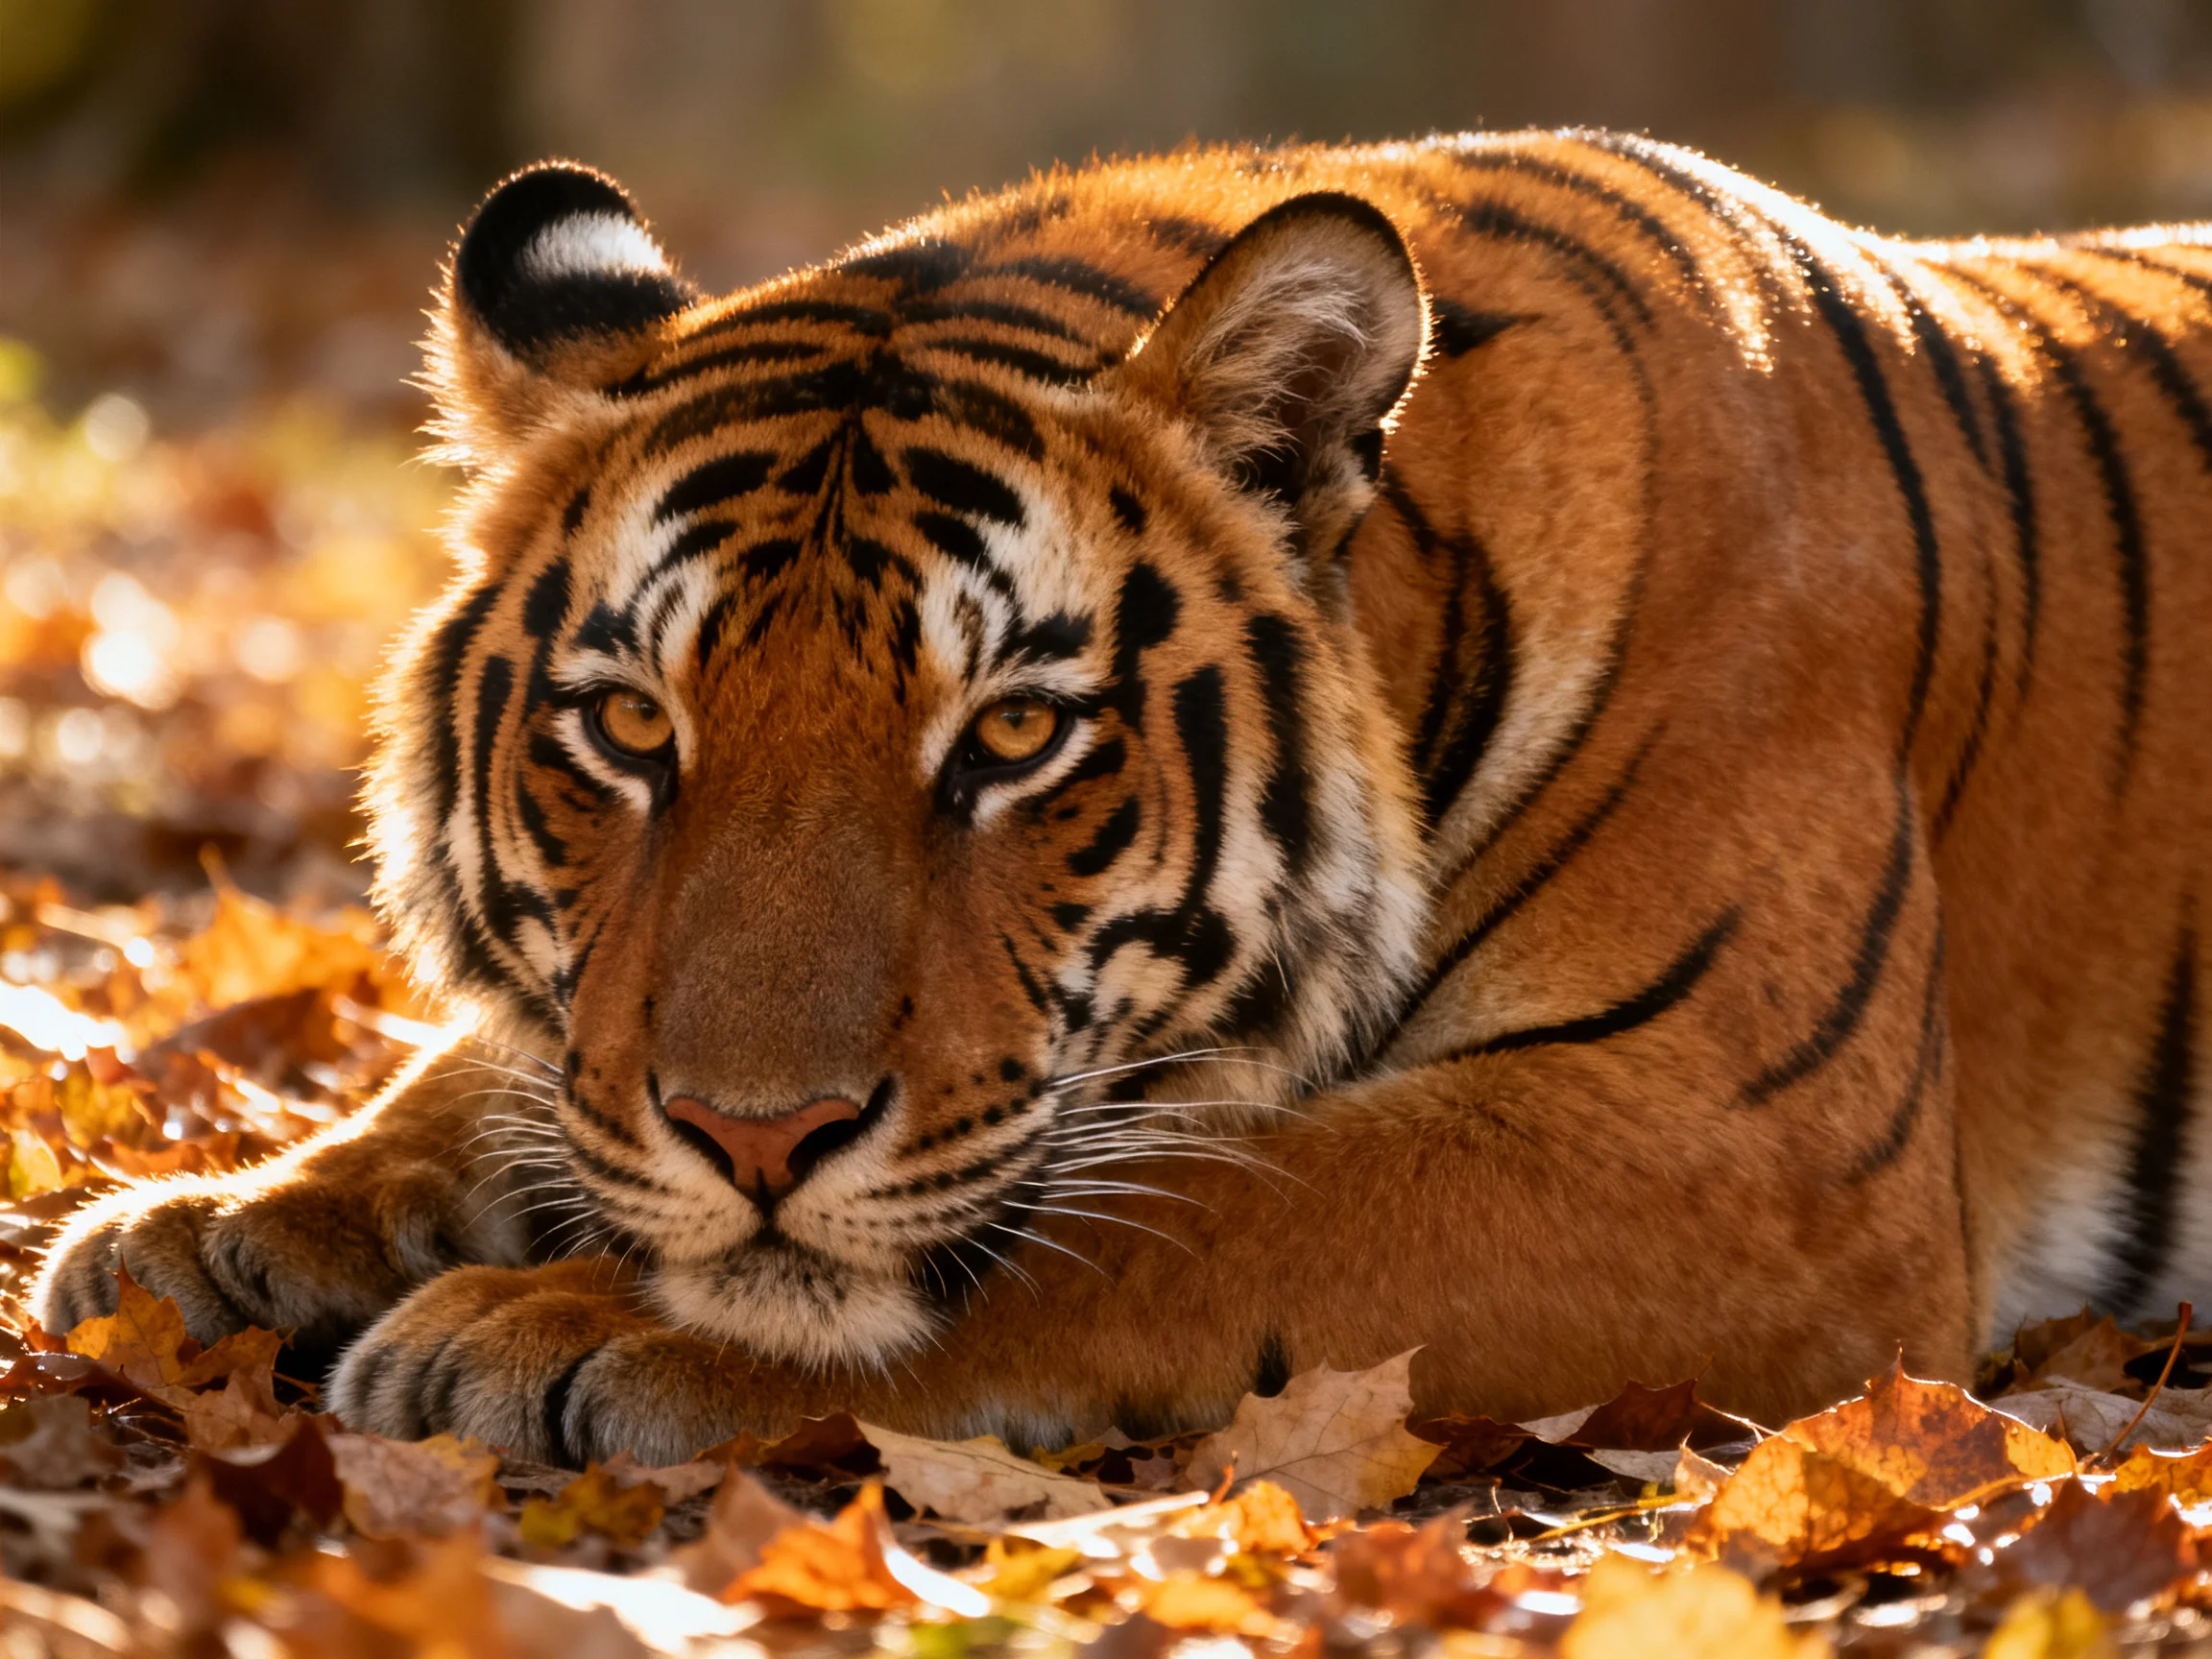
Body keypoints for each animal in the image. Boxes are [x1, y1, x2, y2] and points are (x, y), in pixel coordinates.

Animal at [33, 132, 2212, 1467]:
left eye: (1010, 738)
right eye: (635, 728)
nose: (757, 1138)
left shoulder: (1741, 1152)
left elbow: (1182, 1212)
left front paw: (559, 1326)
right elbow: (509, 1071)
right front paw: (221, 1222)